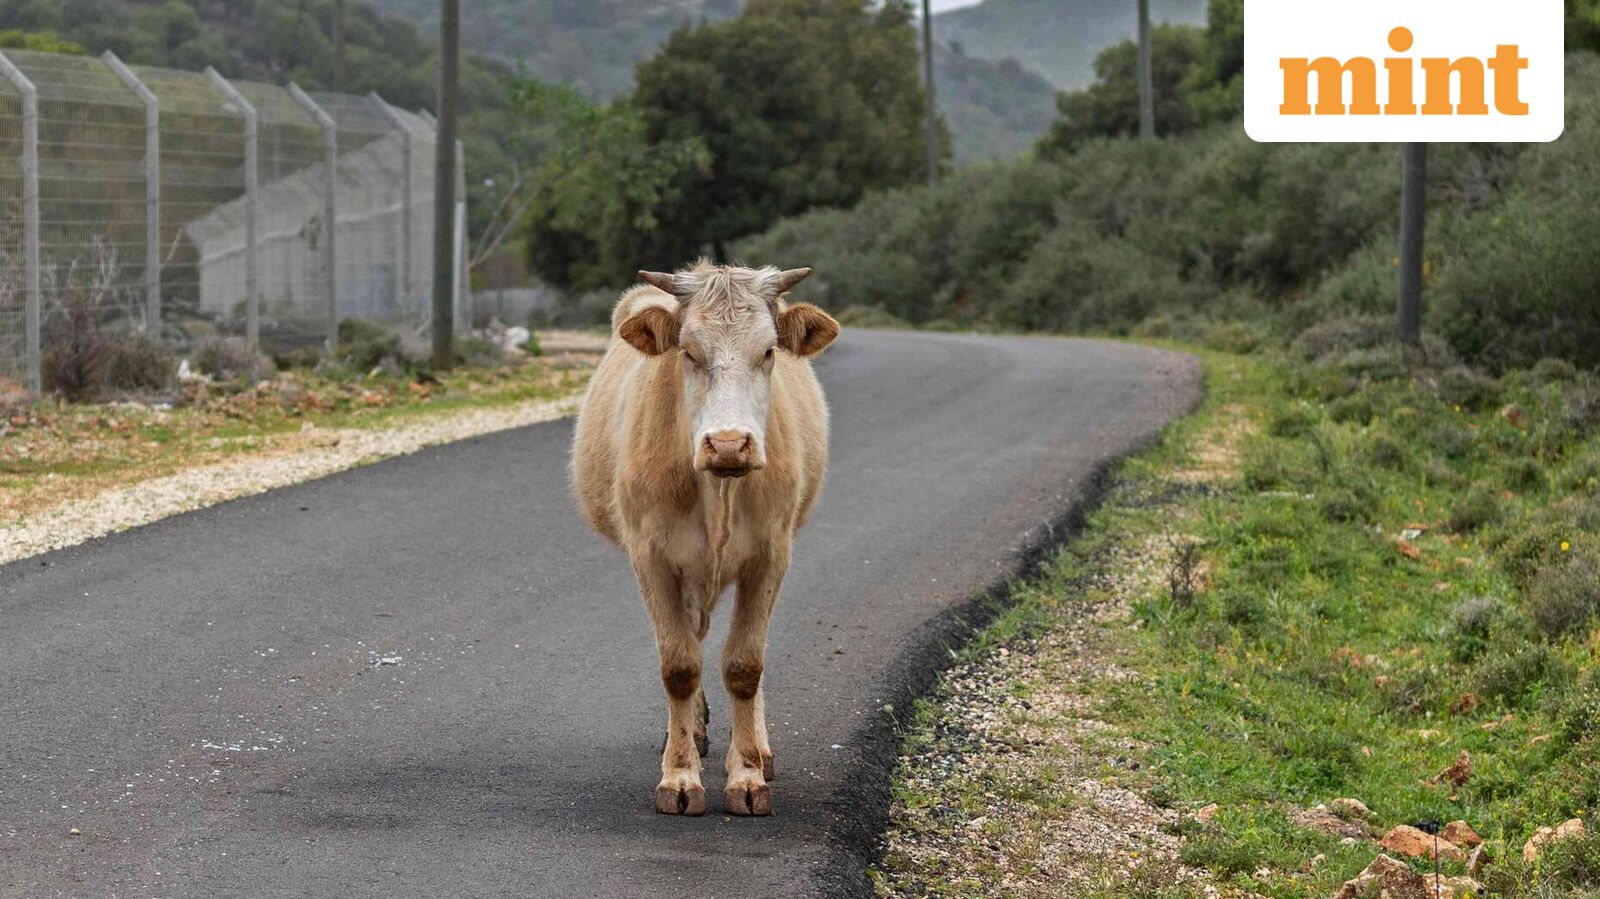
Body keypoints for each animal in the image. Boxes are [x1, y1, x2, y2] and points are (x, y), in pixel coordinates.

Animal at [571, 261, 840, 816]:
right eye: (689, 352)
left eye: (769, 351)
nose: (730, 443)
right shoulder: (651, 558)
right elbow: (679, 665)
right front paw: (679, 776)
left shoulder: (771, 556)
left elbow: (745, 665)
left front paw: (748, 776)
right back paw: (691, 735)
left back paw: (755, 746)